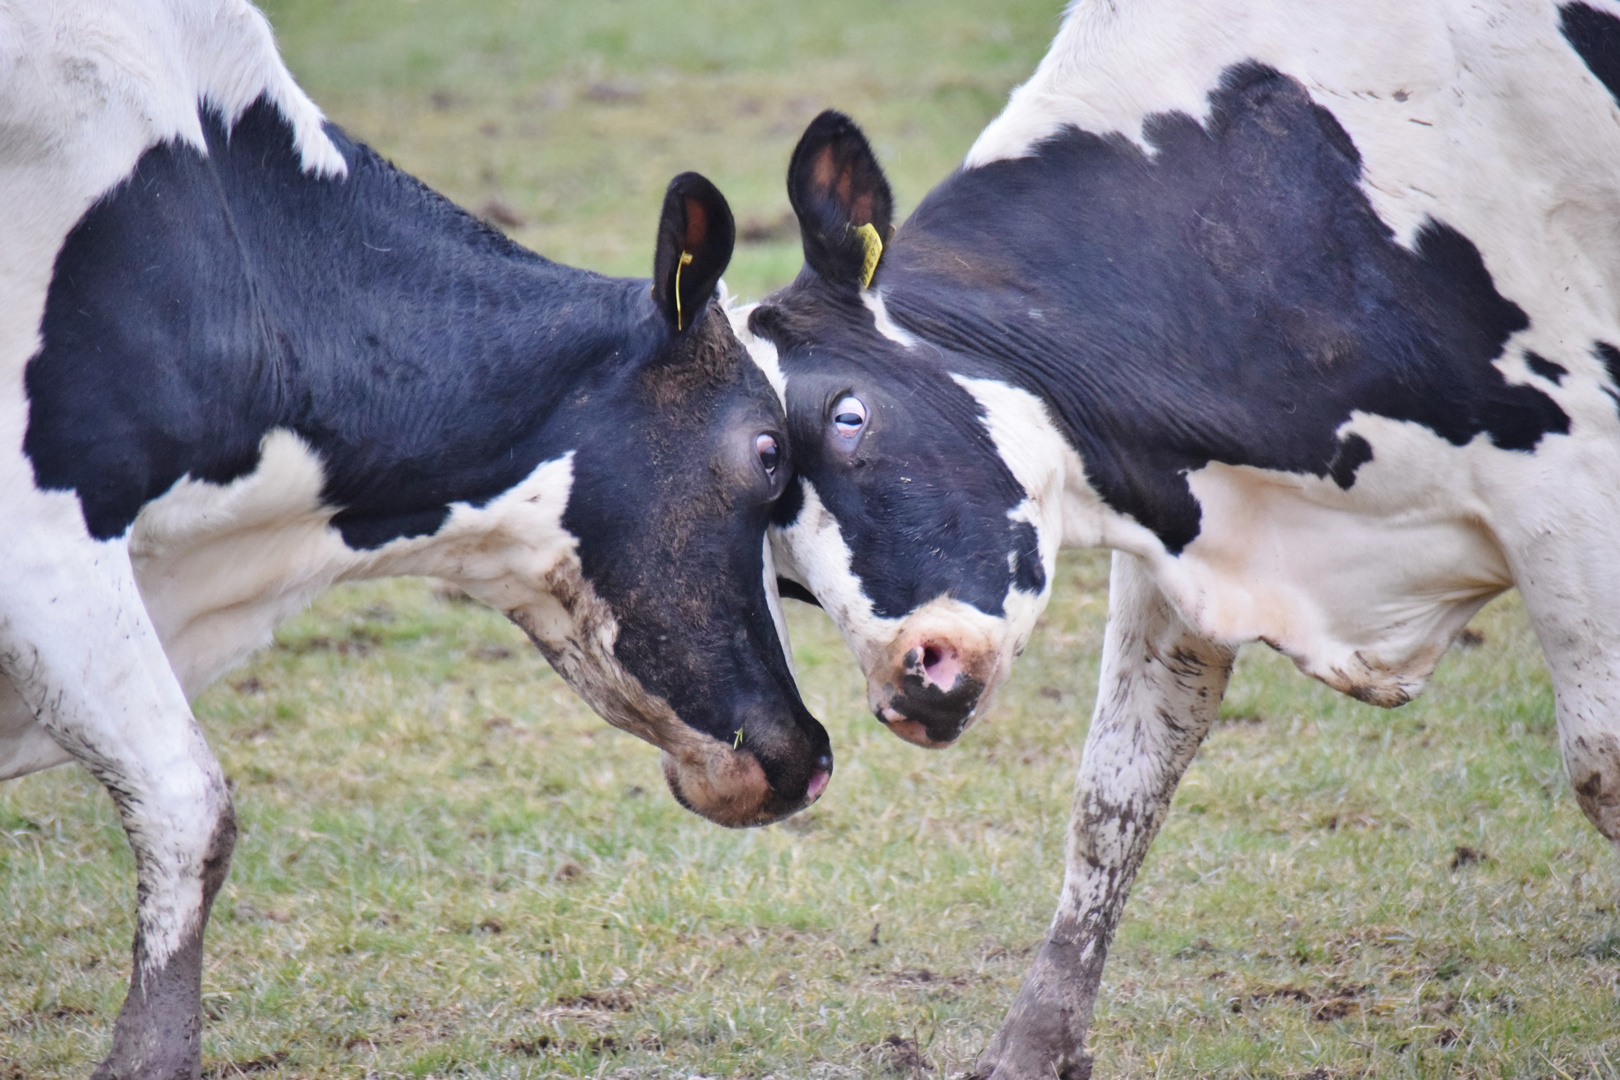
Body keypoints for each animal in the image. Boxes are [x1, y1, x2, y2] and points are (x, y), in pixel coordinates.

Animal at [741, 2, 1620, 1080]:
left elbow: (1603, 766)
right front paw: (1034, 1043)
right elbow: (1118, 790)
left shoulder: (1570, 485)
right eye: (786, 576)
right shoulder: (1176, 535)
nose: (912, 683)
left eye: (851, 416)